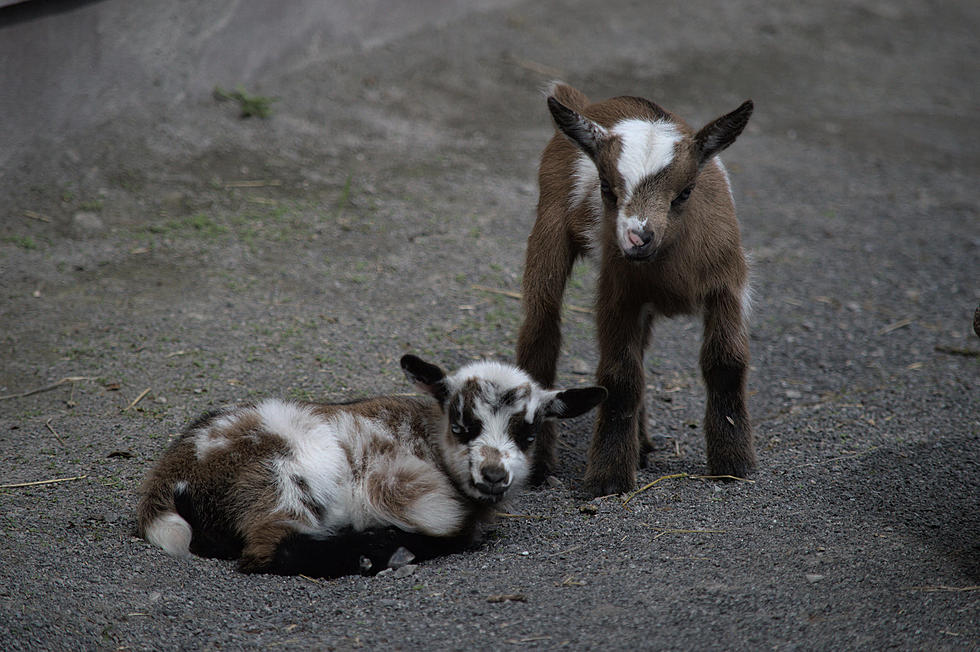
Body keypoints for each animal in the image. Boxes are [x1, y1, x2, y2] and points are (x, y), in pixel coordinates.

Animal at [134, 356, 600, 576]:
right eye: (461, 426)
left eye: (528, 435)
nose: (493, 475)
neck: (427, 436)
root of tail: (172, 472)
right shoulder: (400, 487)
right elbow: (453, 526)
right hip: (280, 478)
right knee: (270, 549)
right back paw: (381, 553)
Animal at [516, 84, 756, 496]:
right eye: (606, 189)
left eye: (685, 192)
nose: (637, 238)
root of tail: (584, 102)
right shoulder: (618, 292)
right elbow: (620, 377)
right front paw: (609, 478)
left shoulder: (728, 285)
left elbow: (726, 363)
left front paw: (734, 465)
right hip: (548, 226)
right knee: (541, 328)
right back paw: (538, 468)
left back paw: (642, 445)